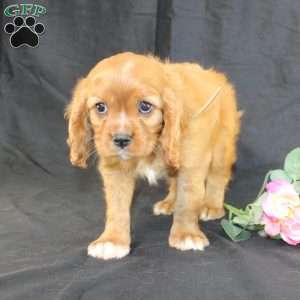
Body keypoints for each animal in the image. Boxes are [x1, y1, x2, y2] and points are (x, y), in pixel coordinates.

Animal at [66, 52, 241, 260]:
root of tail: (216, 76)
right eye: (100, 107)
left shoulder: (191, 164)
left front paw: (186, 235)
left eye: (145, 106)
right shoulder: (116, 169)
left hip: (222, 147)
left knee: (217, 178)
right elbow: (117, 207)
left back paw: (211, 206)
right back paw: (169, 203)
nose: (121, 139)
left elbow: (187, 201)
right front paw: (112, 240)